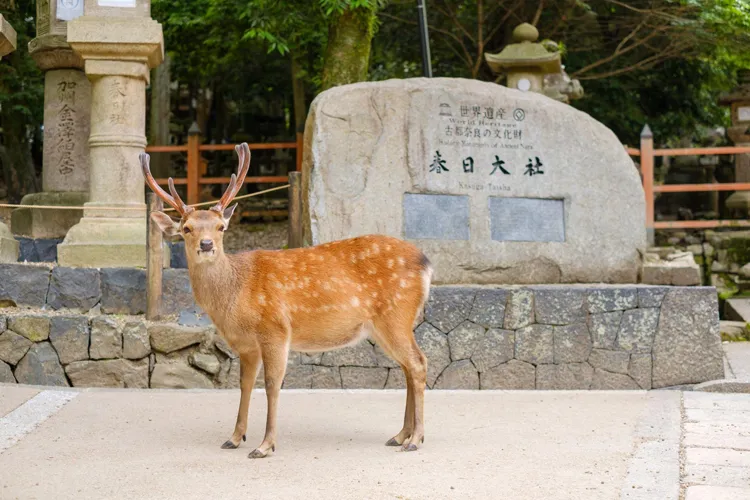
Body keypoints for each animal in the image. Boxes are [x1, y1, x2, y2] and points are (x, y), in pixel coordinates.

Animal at [142, 144, 434, 458]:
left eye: (221, 227)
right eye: (187, 228)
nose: (206, 245)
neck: (235, 297)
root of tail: (426, 263)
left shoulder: (275, 330)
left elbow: (272, 384)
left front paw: (265, 445)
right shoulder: (246, 345)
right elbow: (244, 384)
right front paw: (234, 438)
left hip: (396, 315)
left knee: (418, 363)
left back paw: (416, 438)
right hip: (384, 326)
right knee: (406, 367)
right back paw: (400, 435)